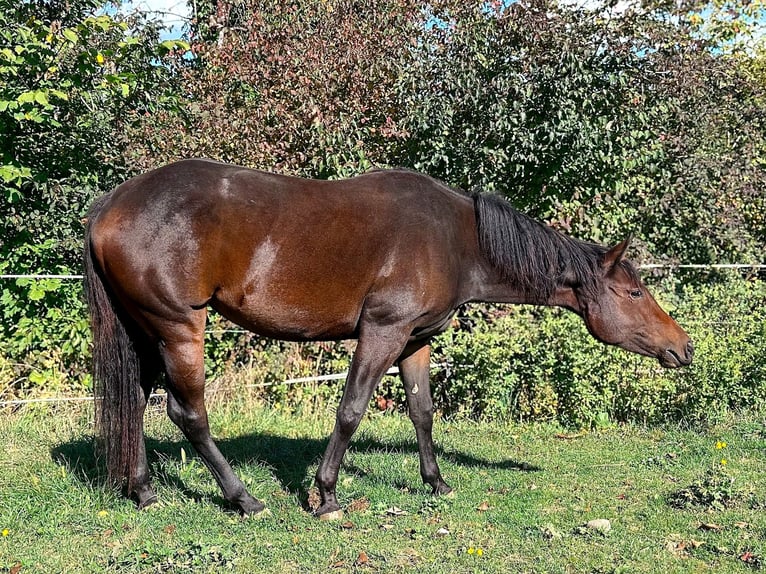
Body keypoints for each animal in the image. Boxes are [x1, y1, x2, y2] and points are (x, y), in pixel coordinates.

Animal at [83, 158, 693, 520]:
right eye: (634, 292)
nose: (682, 348)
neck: (456, 238)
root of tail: (111, 204)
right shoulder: (382, 331)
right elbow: (351, 410)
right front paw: (326, 495)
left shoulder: (415, 340)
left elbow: (422, 412)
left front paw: (437, 482)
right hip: (179, 328)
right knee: (188, 414)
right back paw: (244, 498)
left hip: (145, 331)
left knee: (133, 401)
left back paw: (143, 490)